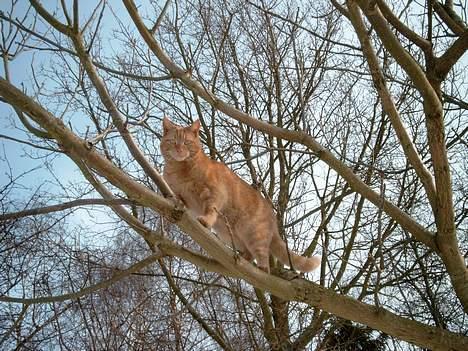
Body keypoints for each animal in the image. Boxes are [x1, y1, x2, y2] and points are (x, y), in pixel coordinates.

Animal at [161, 118, 322, 276]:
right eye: (173, 141)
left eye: (186, 142)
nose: (179, 148)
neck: (180, 169)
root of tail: (273, 218)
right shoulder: (181, 195)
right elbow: (180, 201)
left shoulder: (215, 193)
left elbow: (210, 210)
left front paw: (205, 220)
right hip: (231, 234)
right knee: (249, 253)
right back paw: (241, 261)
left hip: (254, 234)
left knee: (262, 254)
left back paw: (262, 267)